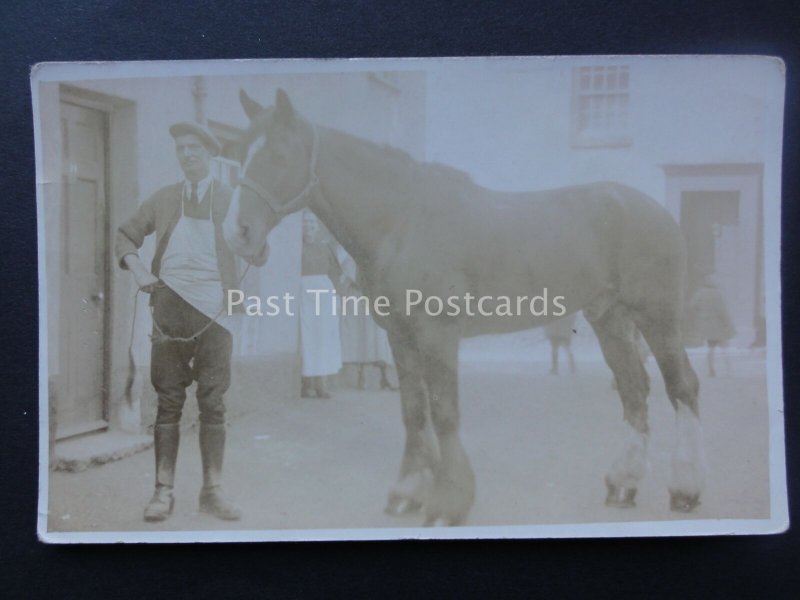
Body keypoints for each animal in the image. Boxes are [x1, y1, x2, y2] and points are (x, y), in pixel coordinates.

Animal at [223, 88, 706, 526]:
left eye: (280, 153)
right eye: (238, 154)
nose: (238, 233)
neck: (401, 220)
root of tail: (655, 211)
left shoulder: (437, 332)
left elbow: (444, 411)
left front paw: (447, 503)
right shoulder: (399, 334)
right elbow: (414, 410)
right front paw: (408, 491)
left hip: (656, 317)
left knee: (681, 387)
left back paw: (685, 489)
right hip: (610, 318)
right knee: (634, 390)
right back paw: (623, 484)